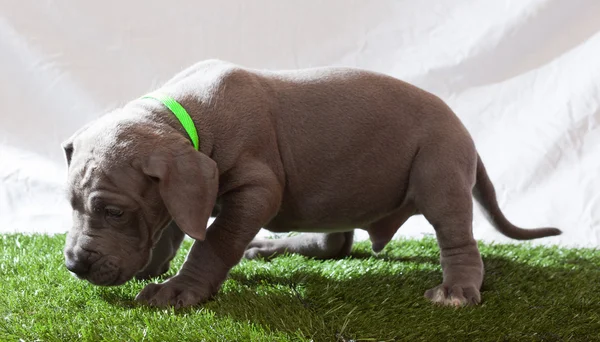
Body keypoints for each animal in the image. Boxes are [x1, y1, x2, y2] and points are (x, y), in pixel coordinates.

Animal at [63, 58, 560, 308]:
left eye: (114, 211)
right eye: (71, 204)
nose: (75, 264)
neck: (181, 118)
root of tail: (465, 130)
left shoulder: (255, 190)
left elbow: (212, 241)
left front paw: (179, 289)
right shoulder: (181, 190)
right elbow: (172, 227)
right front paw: (155, 267)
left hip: (440, 168)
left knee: (456, 236)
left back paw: (457, 290)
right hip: (343, 193)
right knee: (334, 244)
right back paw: (270, 247)